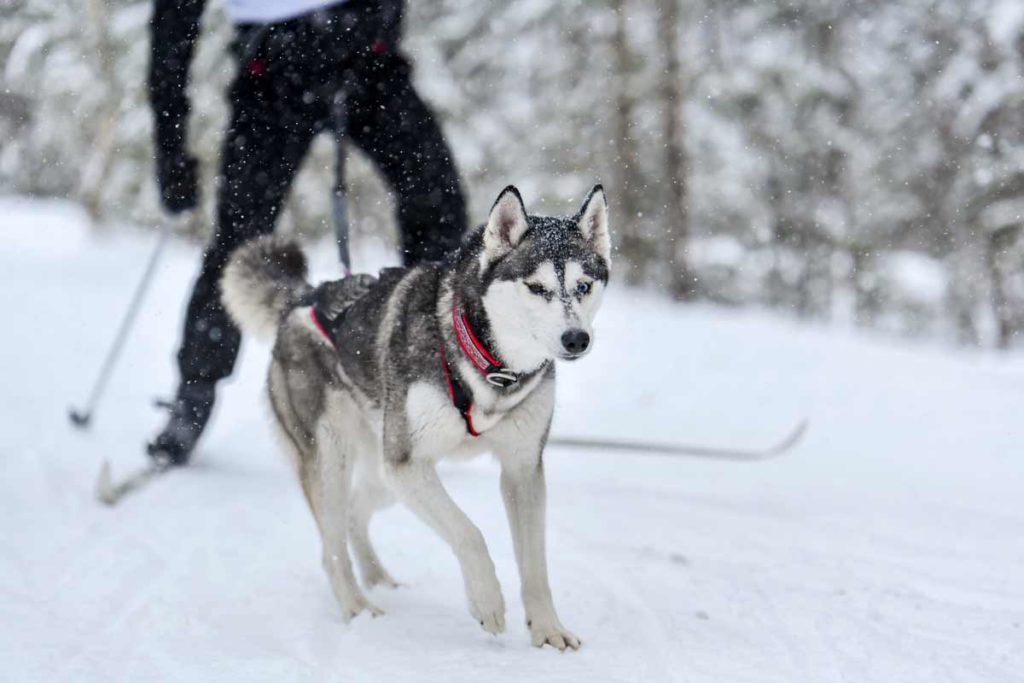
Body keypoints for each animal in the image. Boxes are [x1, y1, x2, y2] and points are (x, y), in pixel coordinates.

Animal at [222, 184, 606, 651]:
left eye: (583, 286)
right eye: (536, 288)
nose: (576, 339)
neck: (489, 365)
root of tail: (304, 299)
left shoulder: (522, 471)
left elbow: (535, 565)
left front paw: (548, 629)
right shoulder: (407, 464)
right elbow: (469, 533)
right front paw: (487, 602)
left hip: (385, 474)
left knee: (354, 513)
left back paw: (377, 578)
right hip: (338, 459)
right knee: (331, 548)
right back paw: (358, 606)